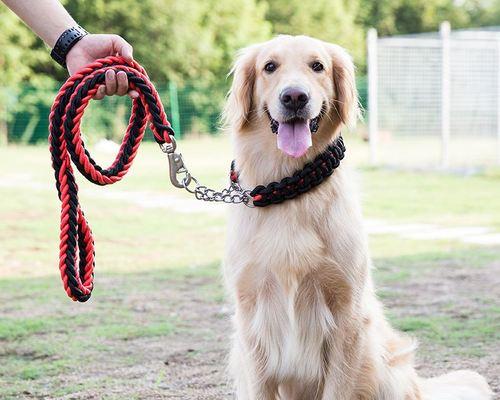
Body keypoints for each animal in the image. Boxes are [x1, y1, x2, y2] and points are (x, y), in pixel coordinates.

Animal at [222, 35, 492, 400]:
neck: (290, 187)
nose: (295, 97)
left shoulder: (346, 311)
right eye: (269, 67)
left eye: (317, 66)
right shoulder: (251, 317)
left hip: (386, 367)